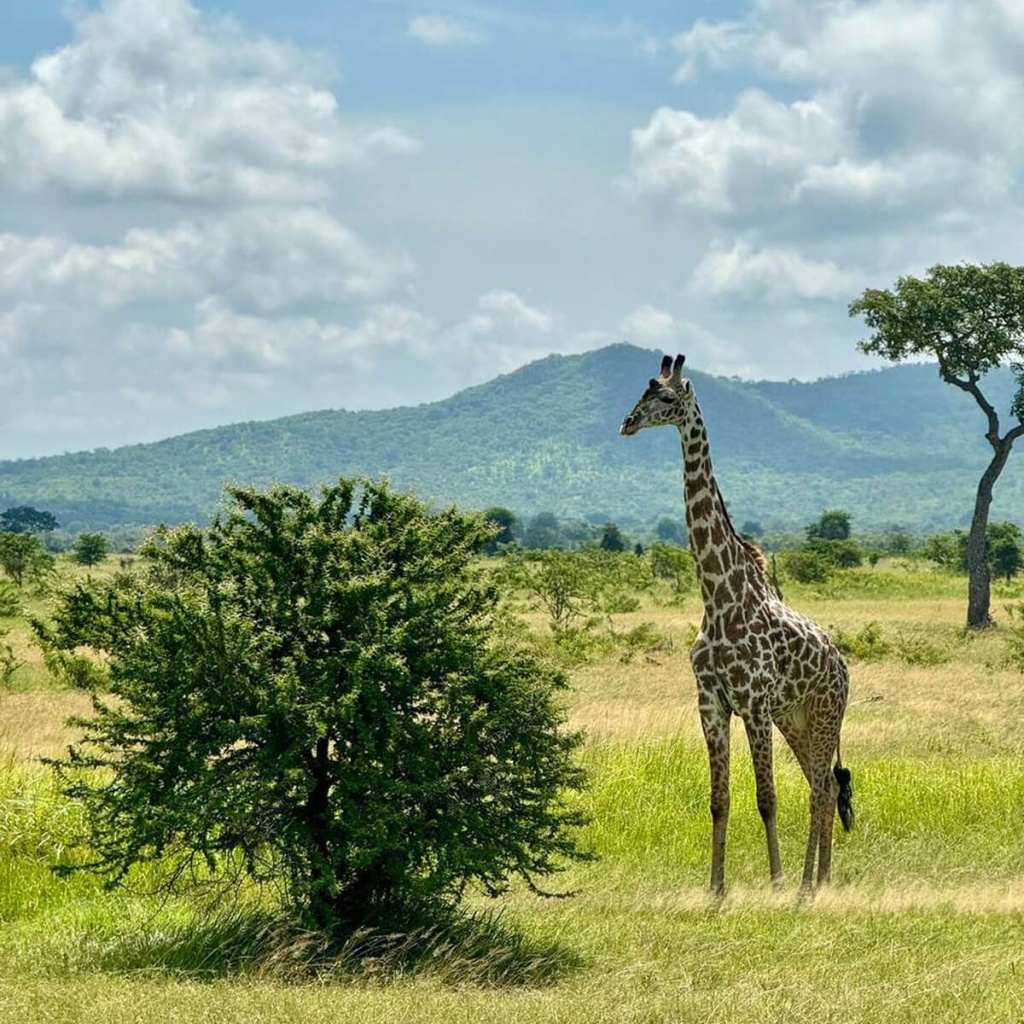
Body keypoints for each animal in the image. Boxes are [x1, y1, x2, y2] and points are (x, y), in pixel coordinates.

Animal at [620, 353, 854, 892]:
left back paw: (807, 886)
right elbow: (718, 800)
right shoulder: (711, 703)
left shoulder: (753, 703)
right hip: (796, 718)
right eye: (641, 392)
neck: (719, 597)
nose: (628, 423)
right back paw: (820, 882)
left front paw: (776, 883)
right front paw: (716, 890)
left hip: (825, 712)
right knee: (824, 785)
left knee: (821, 788)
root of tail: (842, 664)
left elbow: (767, 798)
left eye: (666, 397)